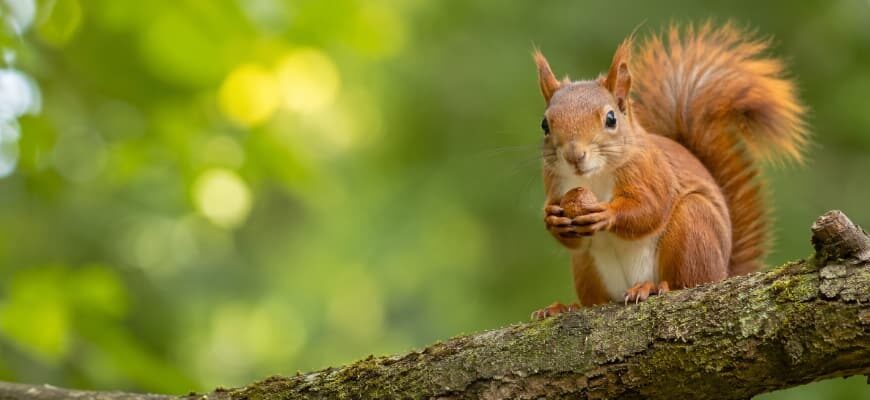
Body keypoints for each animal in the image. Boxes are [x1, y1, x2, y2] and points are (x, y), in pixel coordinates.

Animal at [531, 23, 808, 319]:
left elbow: (649, 209)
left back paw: (651, 288)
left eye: (611, 119)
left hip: (692, 230)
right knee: (594, 297)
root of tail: (723, 272)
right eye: (544, 124)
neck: (593, 177)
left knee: (685, 282)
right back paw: (564, 307)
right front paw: (552, 219)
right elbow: (572, 238)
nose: (574, 155)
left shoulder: (651, 172)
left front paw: (606, 213)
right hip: (586, 267)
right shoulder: (555, 183)